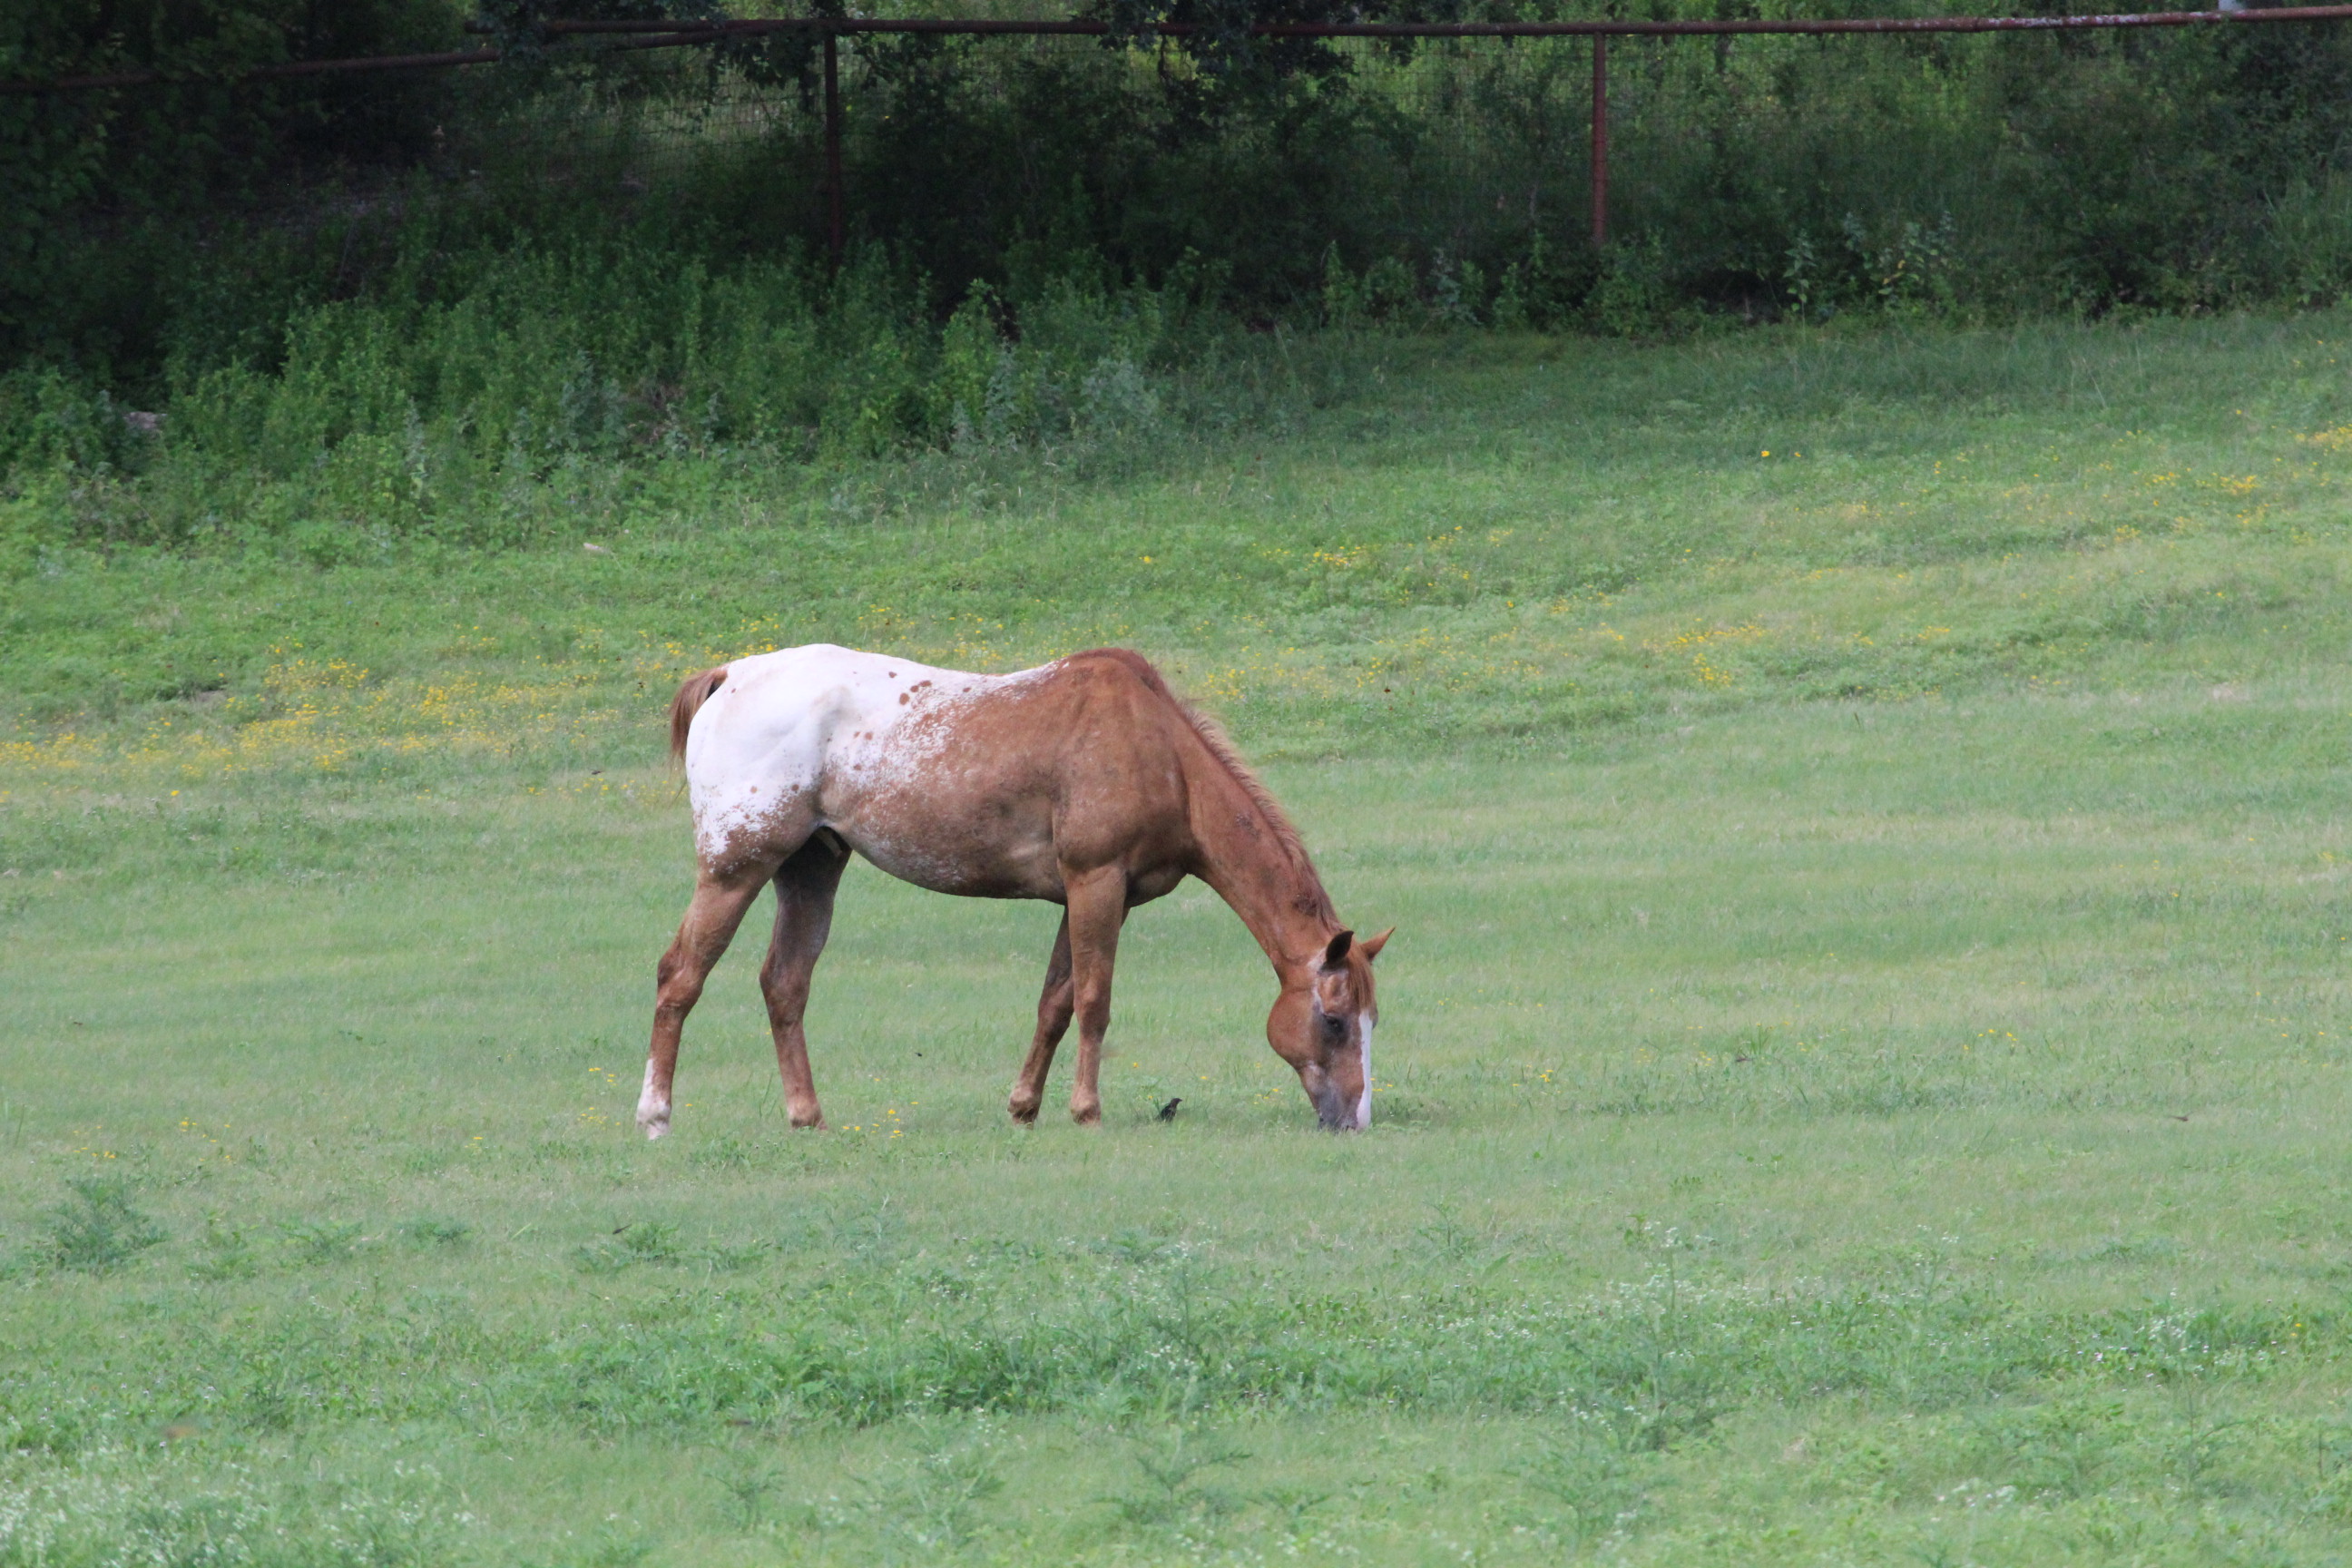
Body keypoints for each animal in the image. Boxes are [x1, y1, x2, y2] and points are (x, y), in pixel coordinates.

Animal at [638, 643, 1390, 1138]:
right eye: (1333, 1020)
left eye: (1371, 1021)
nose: (1355, 1118)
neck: (1160, 754)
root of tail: (729, 675)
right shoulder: (1095, 884)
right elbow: (1093, 1002)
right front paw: (1085, 1111)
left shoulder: (1087, 898)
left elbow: (1054, 1004)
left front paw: (1025, 1106)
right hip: (736, 869)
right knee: (680, 976)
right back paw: (656, 1115)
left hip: (810, 870)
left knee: (785, 985)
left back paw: (807, 1116)